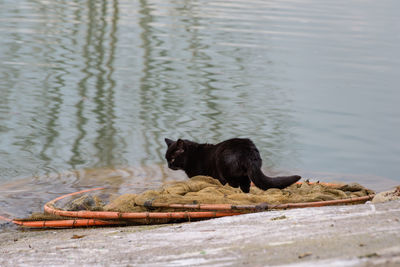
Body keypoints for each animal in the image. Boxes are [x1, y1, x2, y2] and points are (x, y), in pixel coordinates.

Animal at [163, 139, 300, 194]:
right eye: (166, 159)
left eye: (172, 159)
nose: (169, 166)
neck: (192, 155)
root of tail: (248, 150)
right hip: (245, 176)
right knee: (245, 186)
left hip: (227, 172)